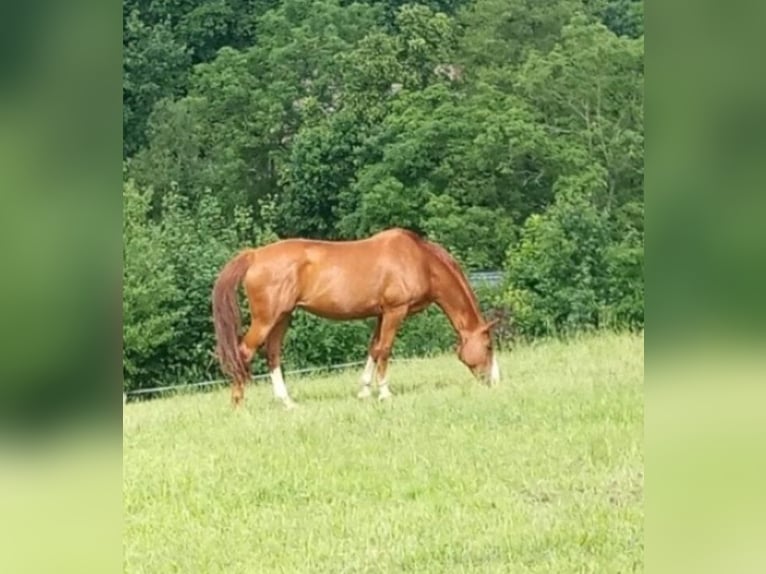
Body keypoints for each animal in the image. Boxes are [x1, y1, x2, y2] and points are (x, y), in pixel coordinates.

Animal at [214, 226, 504, 410]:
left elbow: (373, 350)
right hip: (266, 319)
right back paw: (238, 403)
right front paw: (384, 394)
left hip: (282, 317)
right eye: (489, 346)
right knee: (244, 352)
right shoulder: (395, 311)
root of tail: (254, 255)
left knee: (273, 354)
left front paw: (364, 391)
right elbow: (385, 350)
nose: (494, 382)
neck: (420, 260)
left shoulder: (380, 314)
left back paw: (287, 402)